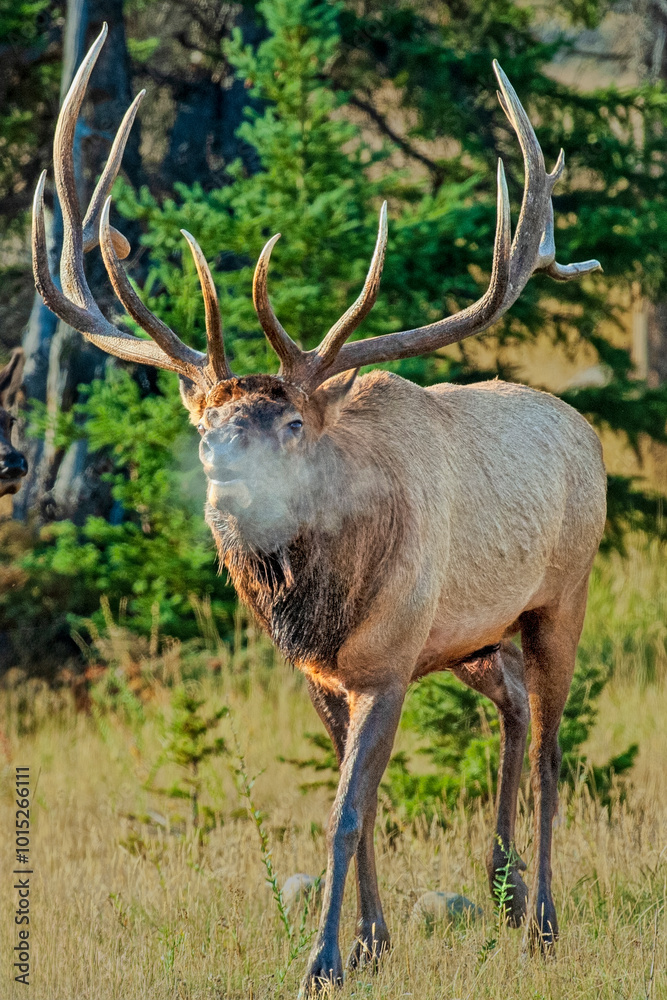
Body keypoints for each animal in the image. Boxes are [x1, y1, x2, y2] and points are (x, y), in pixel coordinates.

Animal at [33, 26, 606, 994]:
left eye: (293, 423)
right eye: (204, 420)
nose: (222, 470)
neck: (321, 607)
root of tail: (587, 433)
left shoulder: (386, 666)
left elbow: (344, 812)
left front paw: (325, 959)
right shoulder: (322, 673)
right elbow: (360, 807)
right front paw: (374, 943)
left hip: (559, 597)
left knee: (553, 747)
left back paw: (542, 922)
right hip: (468, 637)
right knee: (515, 706)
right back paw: (500, 892)